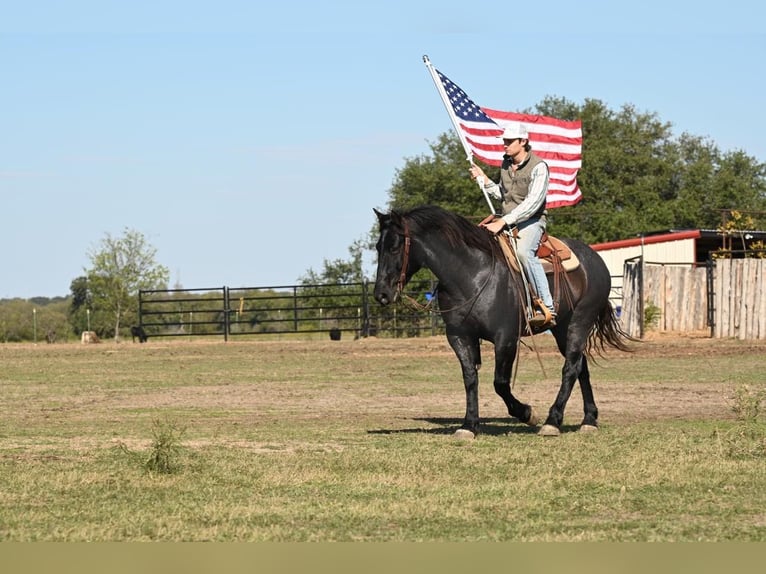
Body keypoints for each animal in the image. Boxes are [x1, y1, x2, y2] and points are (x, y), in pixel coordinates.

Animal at [374, 205, 636, 438]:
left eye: (395, 247)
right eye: (378, 247)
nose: (381, 294)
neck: (471, 273)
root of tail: (595, 258)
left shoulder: (506, 338)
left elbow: (500, 383)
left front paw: (527, 413)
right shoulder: (459, 336)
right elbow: (470, 378)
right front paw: (469, 425)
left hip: (579, 322)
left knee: (570, 368)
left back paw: (552, 421)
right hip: (562, 329)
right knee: (581, 367)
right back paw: (589, 419)